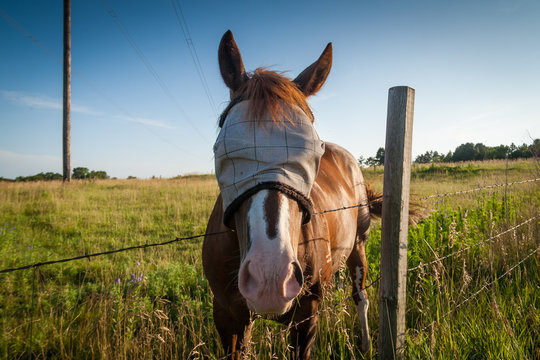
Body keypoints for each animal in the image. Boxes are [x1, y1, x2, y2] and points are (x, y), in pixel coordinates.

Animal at [200, 31, 382, 360]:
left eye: (314, 151)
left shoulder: (306, 316)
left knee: (360, 296)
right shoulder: (227, 317)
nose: (271, 276)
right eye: (222, 148)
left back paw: (365, 344)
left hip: (359, 247)